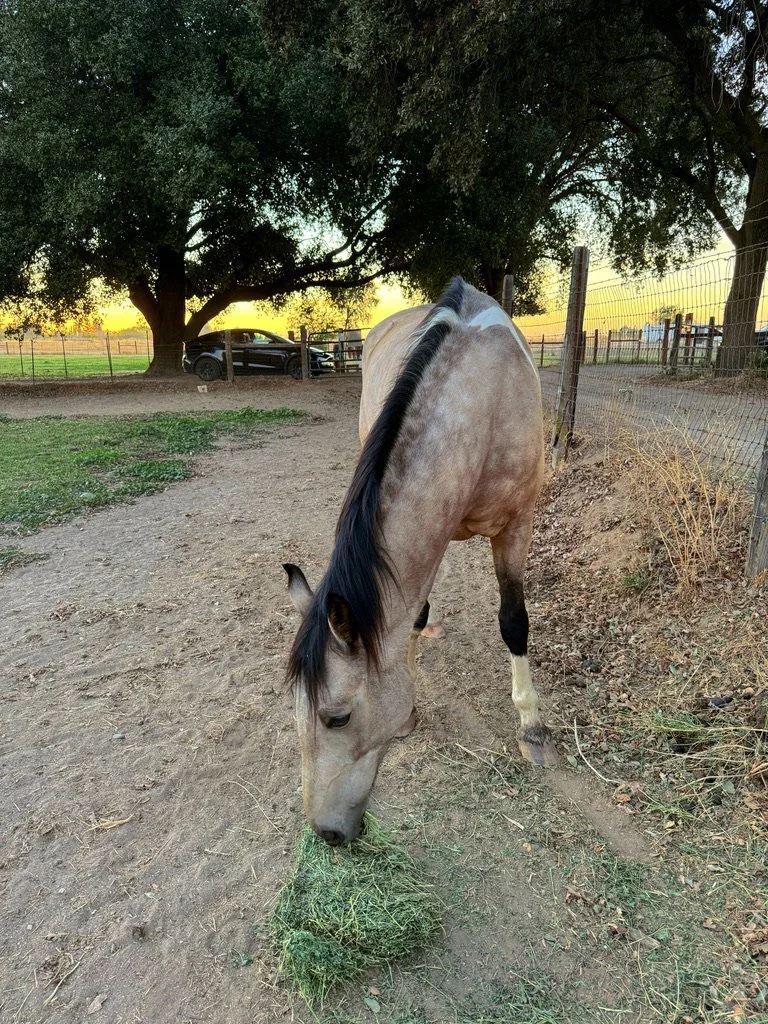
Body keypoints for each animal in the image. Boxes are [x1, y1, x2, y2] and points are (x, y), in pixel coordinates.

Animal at [284, 277, 552, 846]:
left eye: (337, 718)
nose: (326, 832)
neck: (482, 401)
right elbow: (409, 614)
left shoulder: (517, 526)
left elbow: (513, 621)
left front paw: (532, 725)